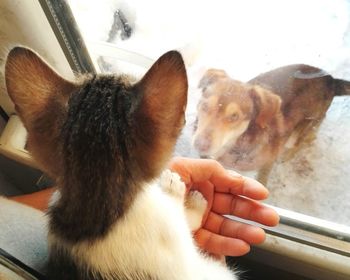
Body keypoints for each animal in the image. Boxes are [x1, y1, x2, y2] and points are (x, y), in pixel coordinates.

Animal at [194, 65, 350, 184]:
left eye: (234, 116)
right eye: (205, 106)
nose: (200, 145)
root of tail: (332, 80)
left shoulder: (266, 165)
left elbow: (261, 182)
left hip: (300, 131)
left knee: (302, 142)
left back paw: (285, 156)